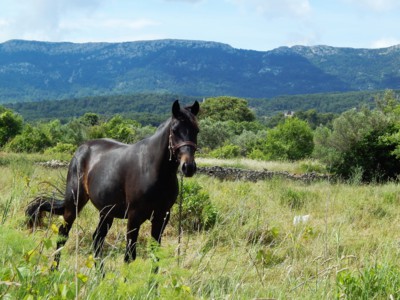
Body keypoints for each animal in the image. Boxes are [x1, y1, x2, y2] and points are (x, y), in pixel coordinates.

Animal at [25, 101, 199, 270]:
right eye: (175, 130)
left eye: (196, 130)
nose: (188, 167)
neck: (153, 169)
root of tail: (81, 149)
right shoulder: (134, 216)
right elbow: (129, 256)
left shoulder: (162, 217)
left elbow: (155, 256)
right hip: (75, 203)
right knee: (63, 234)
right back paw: (53, 270)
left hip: (106, 212)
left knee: (97, 239)